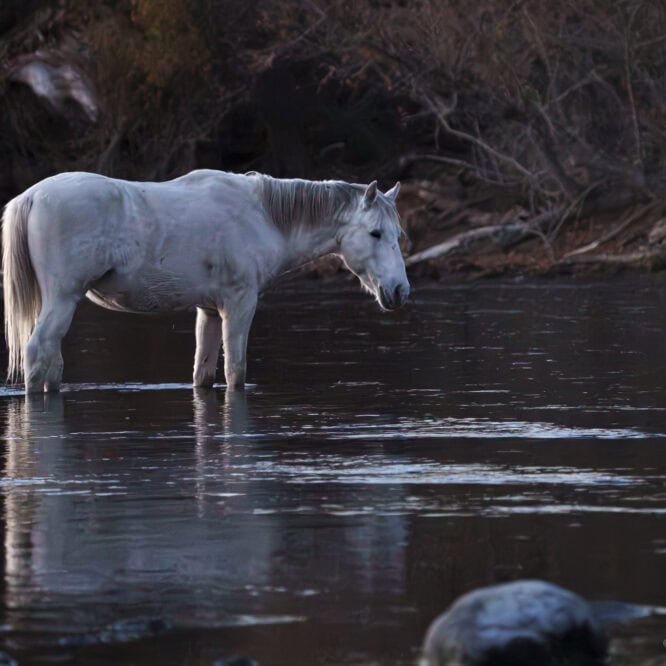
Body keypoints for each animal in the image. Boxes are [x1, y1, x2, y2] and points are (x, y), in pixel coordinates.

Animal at [2, 170, 409, 394]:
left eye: (398, 234)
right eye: (375, 233)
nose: (399, 291)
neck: (262, 216)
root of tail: (33, 195)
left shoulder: (210, 312)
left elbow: (203, 373)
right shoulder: (239, 305)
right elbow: (236, 372)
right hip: (61, 299)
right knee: (37, 353)